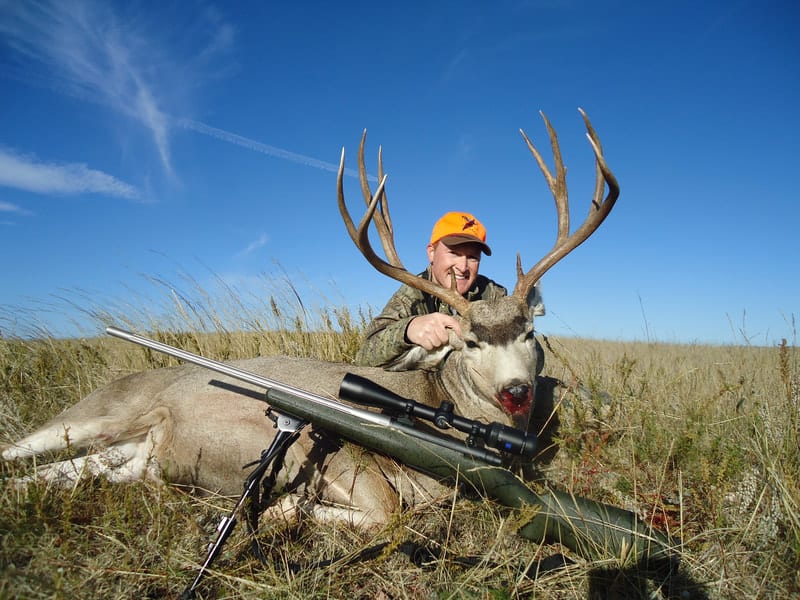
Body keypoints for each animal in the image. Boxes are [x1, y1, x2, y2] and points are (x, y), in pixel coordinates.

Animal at [2, 109, 619, 530]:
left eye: (531, 332)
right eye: (468, 341)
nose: (516, 391)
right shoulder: (333, 454)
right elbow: (385, 512)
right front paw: (279, 509)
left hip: (125, 454)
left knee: (60, 475)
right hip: (95, 412)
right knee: (19, 452)